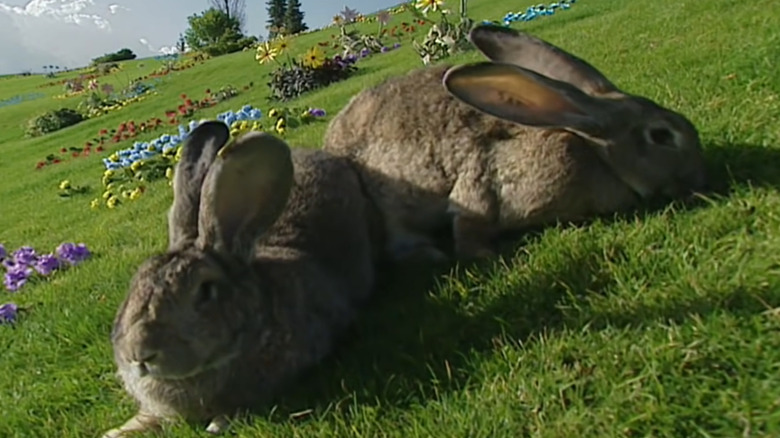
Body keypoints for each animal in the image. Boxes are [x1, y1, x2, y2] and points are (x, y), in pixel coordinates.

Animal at [322, 24, 708, 262]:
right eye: (661, 136)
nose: (698, 176)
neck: (593, 149)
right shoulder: (481, 181)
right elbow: (468, 219)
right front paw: (483, 255)